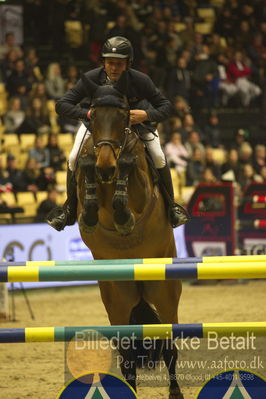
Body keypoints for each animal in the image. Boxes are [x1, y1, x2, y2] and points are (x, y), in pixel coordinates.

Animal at [75, 72, 183, 399]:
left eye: (124, 115)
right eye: (93, 115)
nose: (106, 166)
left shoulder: (141, 190)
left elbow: (129, 167)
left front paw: (123, 213)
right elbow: (86, 169)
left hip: (164, 291)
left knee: (170, 344)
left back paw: (176, 392)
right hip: (117, 299)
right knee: (126, 353)